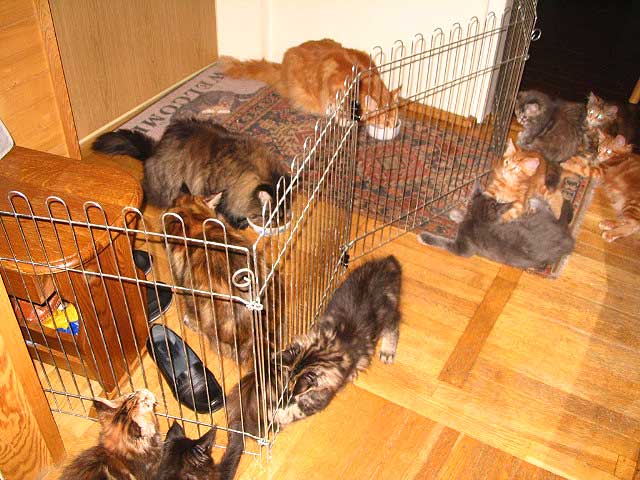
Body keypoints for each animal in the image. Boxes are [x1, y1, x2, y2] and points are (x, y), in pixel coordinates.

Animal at [93, 119, 292, 230]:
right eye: (274, 215)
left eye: (284, 214)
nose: (280, 223)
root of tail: (153, 152)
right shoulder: (216, 189)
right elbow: (225, 209)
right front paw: (238, 223)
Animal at [223, 39, 401, 129]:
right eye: (386, 121)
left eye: (395, 118)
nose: (393, 126)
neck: (362, 82)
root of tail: (281, 69)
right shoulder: (333, 91)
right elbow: (336, 109)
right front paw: (344, 121)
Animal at [418, 186, 575, 270]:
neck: (478, 220)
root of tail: (566, 234)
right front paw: (457, 214)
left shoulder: (462, 248)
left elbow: (443, 242)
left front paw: (425, 237)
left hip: (535, 219)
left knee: (547, 209)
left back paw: (535, 200)